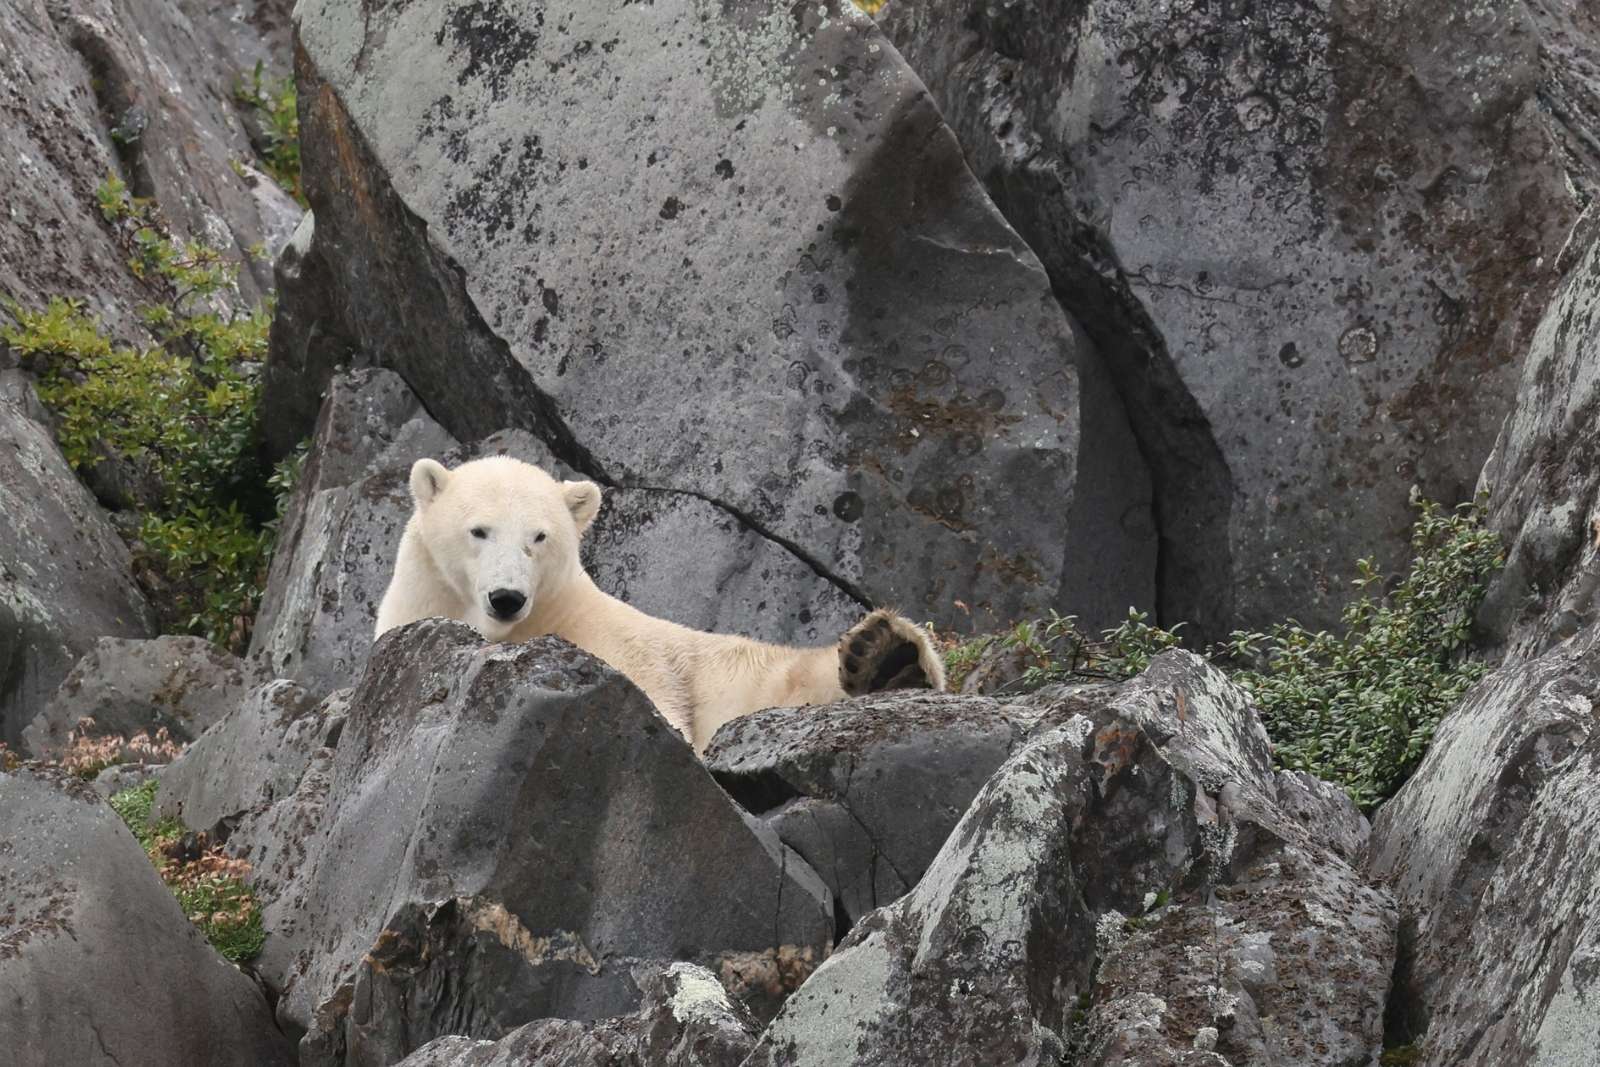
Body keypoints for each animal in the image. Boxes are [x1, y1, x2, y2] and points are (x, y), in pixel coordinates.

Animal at [374, 456, 946, 751]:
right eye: (479, 530)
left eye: (539, 537)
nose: (508, 597)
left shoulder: (618, 641)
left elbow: (658, 698)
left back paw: (883, 654)